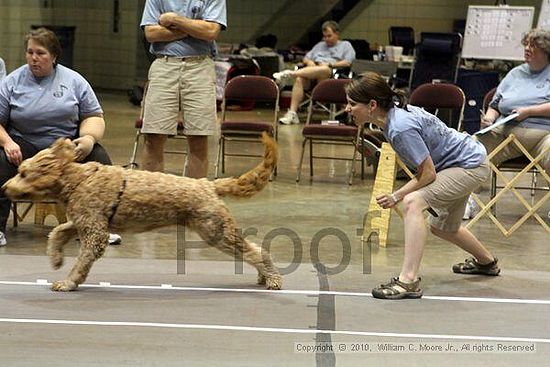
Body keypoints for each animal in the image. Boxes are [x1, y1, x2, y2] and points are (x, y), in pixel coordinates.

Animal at [2, 134, 282, 292]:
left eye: (24, 173)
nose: (4, 188)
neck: (79, 179)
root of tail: (208, 184)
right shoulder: (84, 222)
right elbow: (57, 233)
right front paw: (56, 259)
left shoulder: (95, 233)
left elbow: (81, 262)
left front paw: (68, 282)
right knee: (255, 249)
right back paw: (263, 277)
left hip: (216, 230)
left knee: (256, 251)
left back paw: (273, 279)